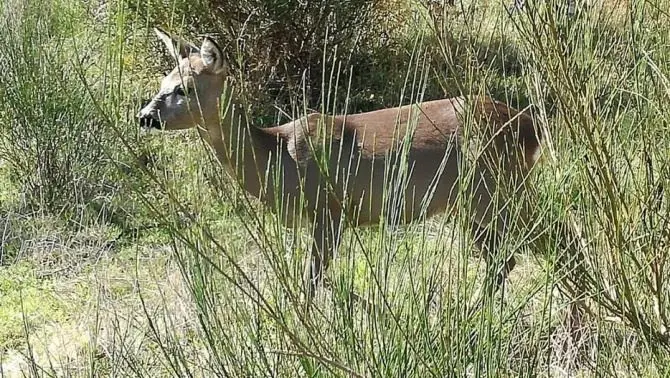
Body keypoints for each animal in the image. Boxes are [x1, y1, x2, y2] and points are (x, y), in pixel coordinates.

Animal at [139, 27, 544, 304]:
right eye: (164, 80)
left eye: (185, 88)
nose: (145, 116)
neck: (279, 158)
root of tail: (530, 126)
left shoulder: (329, 209)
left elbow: (310, 282)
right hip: (472, 201)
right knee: (504, 258)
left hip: (493, 189)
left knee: (526, 246)